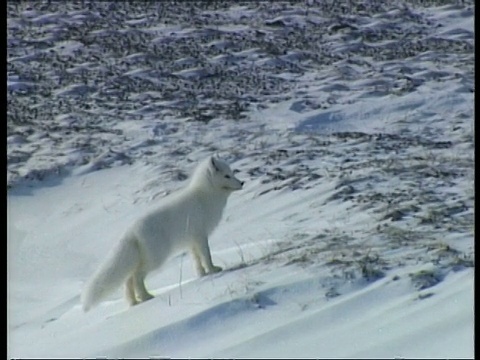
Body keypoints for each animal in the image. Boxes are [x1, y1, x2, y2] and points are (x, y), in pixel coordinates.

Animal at [82, 158, 244, 312]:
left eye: (232, 173)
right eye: (227, 176)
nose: (242, 182)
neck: (205, 197)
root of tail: (131, 230)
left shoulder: (192, 241)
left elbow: (196, 260)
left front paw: (202, 275)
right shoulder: (200, 236)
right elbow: (206, 256)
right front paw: (212, 270)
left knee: (128, 280)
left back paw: (134, 302)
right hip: (156, 258)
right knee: (136, 277)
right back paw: (146, 296)